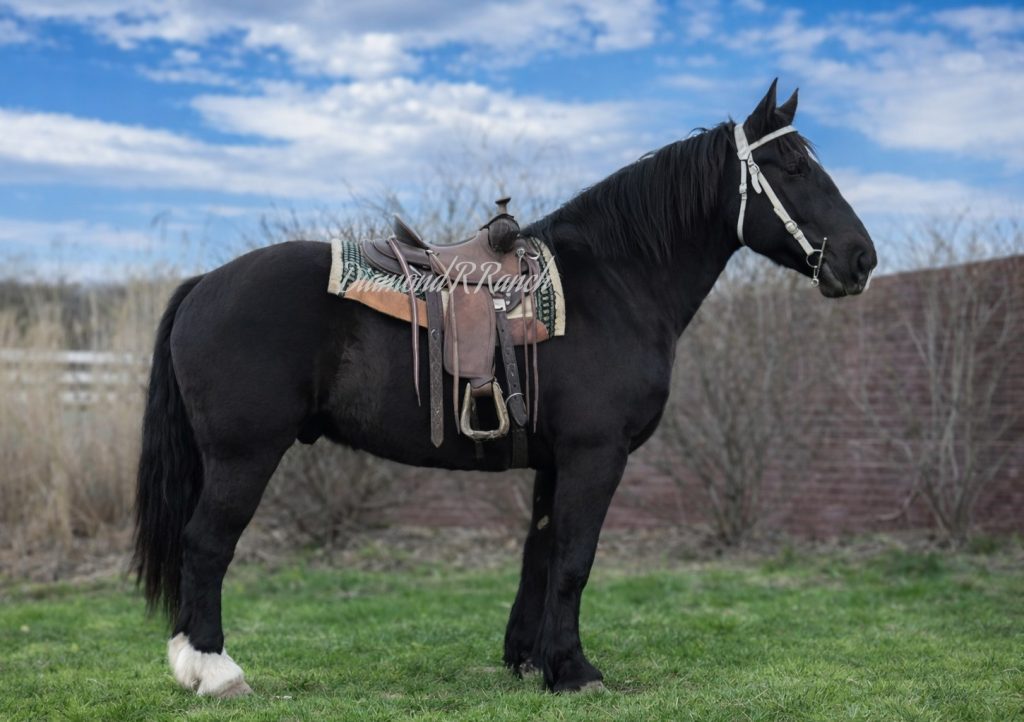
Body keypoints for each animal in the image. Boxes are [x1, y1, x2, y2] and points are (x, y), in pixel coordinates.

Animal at [135, 80, 877, 697]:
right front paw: (575, 671)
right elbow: (574, 560)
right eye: (793, 169)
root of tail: (204, 284)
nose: (861, 259)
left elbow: (540, 556)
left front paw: (530, 659)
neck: (613, 282)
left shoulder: (556, 462)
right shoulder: (595, 455)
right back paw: (215, 671)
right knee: (206, 545)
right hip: (244, 455)